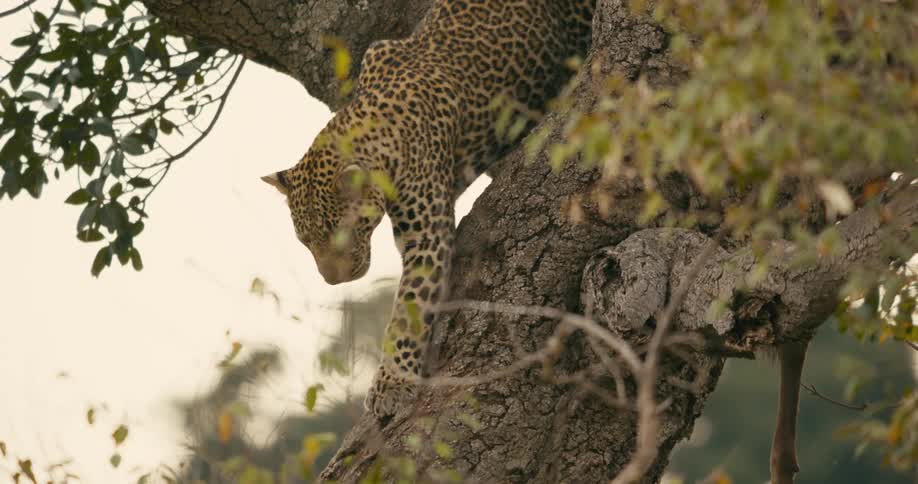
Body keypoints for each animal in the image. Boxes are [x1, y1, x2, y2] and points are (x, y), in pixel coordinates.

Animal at [263, 0, 594, 420]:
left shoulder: (426, 236)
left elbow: (408, 310)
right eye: (305, 242)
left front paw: (391, 384)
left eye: (340, 232)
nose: (333, 281)